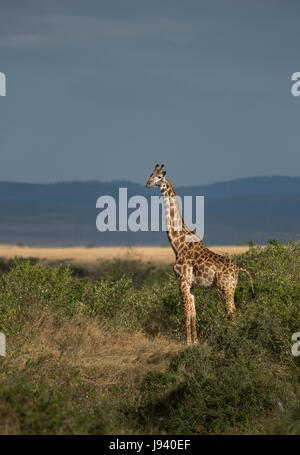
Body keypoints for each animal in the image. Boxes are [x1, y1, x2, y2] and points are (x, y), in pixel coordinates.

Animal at [146, 164, 255, 346]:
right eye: (151, 174)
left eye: (159, 176)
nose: (148, 184)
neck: (177, 244)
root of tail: (238, 269)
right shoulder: (191, 285)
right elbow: (193, 313)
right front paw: (196, 341)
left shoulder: (182, 281)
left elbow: (185, 312)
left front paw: (187, 342)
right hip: (230, 288)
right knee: (233, 312)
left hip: (225, 288)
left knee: (232, 312)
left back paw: (231, 339)